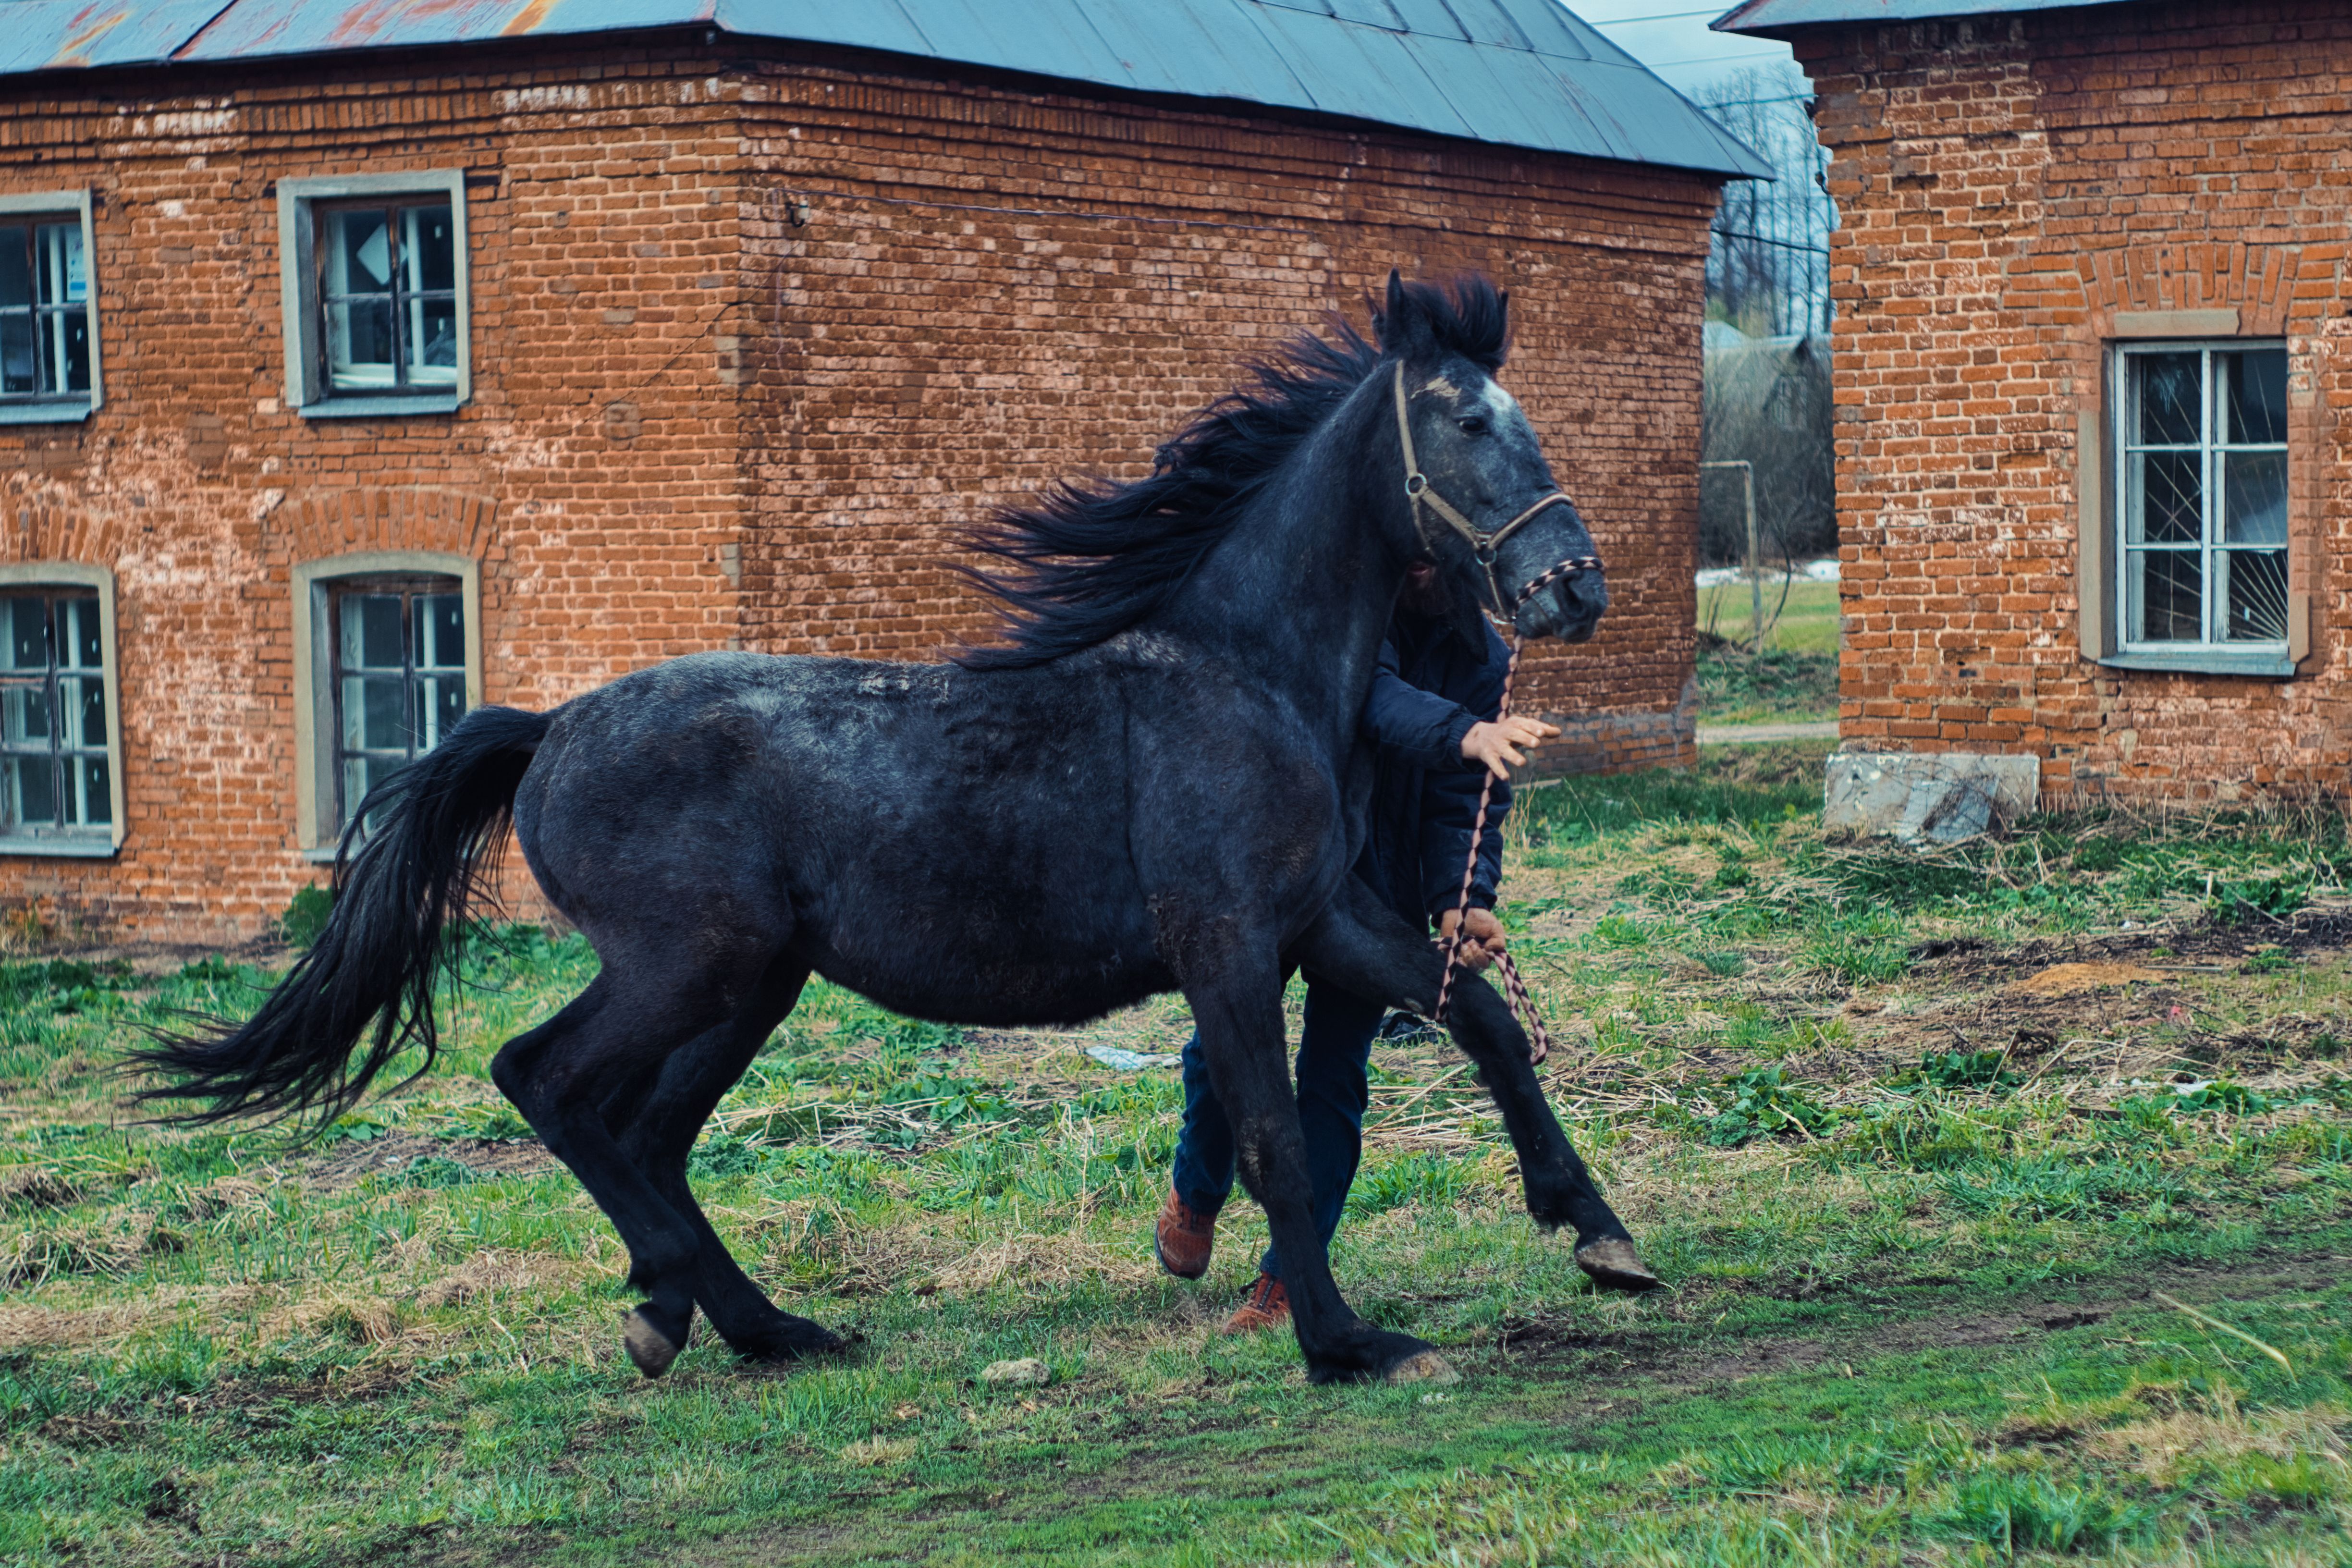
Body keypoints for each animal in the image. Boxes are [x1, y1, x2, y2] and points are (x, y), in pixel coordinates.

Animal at [141, 272, 1657, 1386]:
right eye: (1464, 421)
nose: (1569, 585)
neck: (1248, 674)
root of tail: (552, 728)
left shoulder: (1327, 922)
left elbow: (1485, 1024)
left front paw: (1599, 1235)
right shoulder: (1225, 945)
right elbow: (1278, 1133)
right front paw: (1346, 1344)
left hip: (751, 984)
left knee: (650, 1132)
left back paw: (751, 1324)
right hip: (686, 966)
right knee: (549, 1083)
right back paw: (704, 1311)